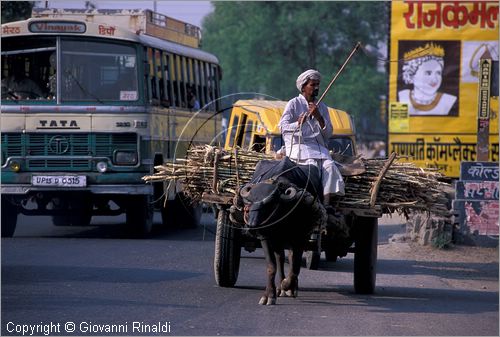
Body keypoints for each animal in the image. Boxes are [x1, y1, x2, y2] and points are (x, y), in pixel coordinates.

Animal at [231, 158, 326, 304]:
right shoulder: (265, 236)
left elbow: (295, 266)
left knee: (290, 259)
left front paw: (287, 285)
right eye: (248, 205)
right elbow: (272, 266)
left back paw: (289, 287)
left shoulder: (300, 236)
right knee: (280, 258)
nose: (252, 227)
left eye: (268, 205)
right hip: (277, 240)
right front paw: (269, 295)